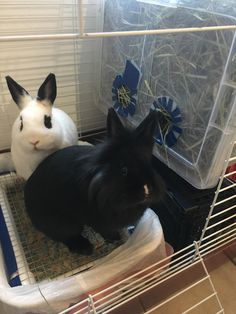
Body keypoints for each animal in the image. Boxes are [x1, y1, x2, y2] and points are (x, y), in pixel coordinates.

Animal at [23, 106, 164, 254]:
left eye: (149, 164)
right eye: (123, 169)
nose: (147, 190)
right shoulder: (99, 222)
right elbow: (105, 231)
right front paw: (115, 238)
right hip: (63, 223)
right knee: (66, 236)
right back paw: (86, 248)